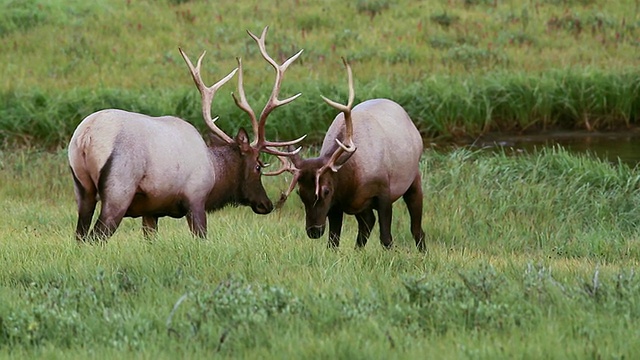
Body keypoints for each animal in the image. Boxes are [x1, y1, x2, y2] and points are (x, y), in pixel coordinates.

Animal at [68, 26, 304, 242]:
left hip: (82, 188)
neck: (215, 172)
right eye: (258, 166)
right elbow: (201, 236)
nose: (267, 204)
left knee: (80, 235)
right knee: (96, 236)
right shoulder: (196, 199)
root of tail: (86, 137)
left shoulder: (151, 211)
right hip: (119, 189)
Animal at [278, 58, 424, 250]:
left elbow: (386, 238)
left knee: (417, 229)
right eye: (300, 193)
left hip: (413, 179)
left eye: (325, 191)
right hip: (361, 206)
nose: (314, 231)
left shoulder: (384, 192)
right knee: (367, 224)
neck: (352, 177)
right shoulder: (337, 204)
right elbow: (333, 242)